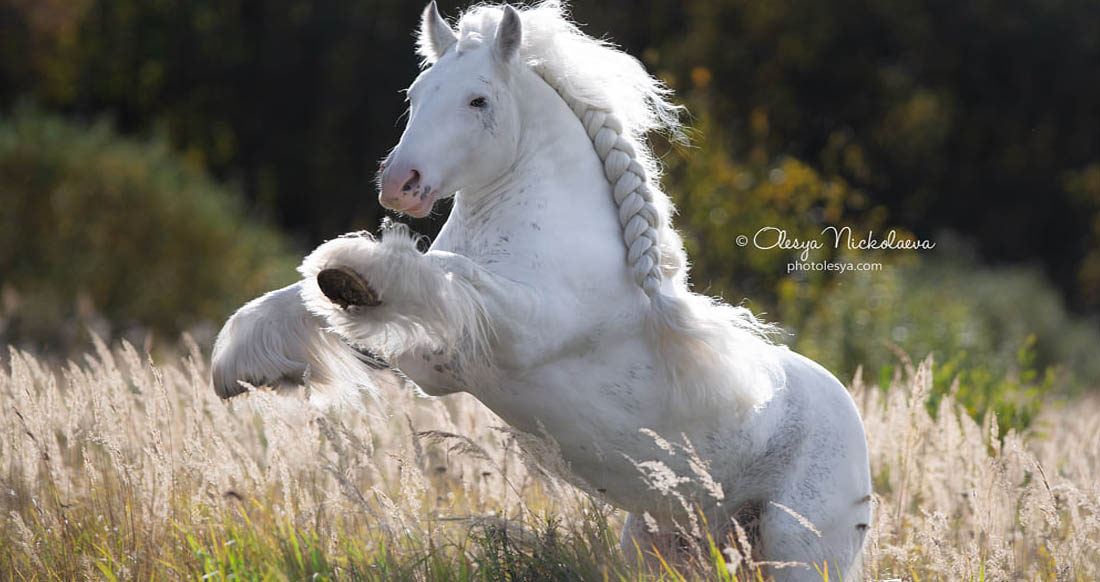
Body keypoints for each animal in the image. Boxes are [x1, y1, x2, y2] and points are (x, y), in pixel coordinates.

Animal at [210, 3, 871, 576]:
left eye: (478, 99)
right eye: (417, 95)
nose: (400, 184)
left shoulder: (511, 329)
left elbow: (442, 273)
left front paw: (356, 266)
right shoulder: (440, 364)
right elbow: (315, 297)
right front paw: (244, 364)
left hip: (797, 551)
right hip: (665, 541)